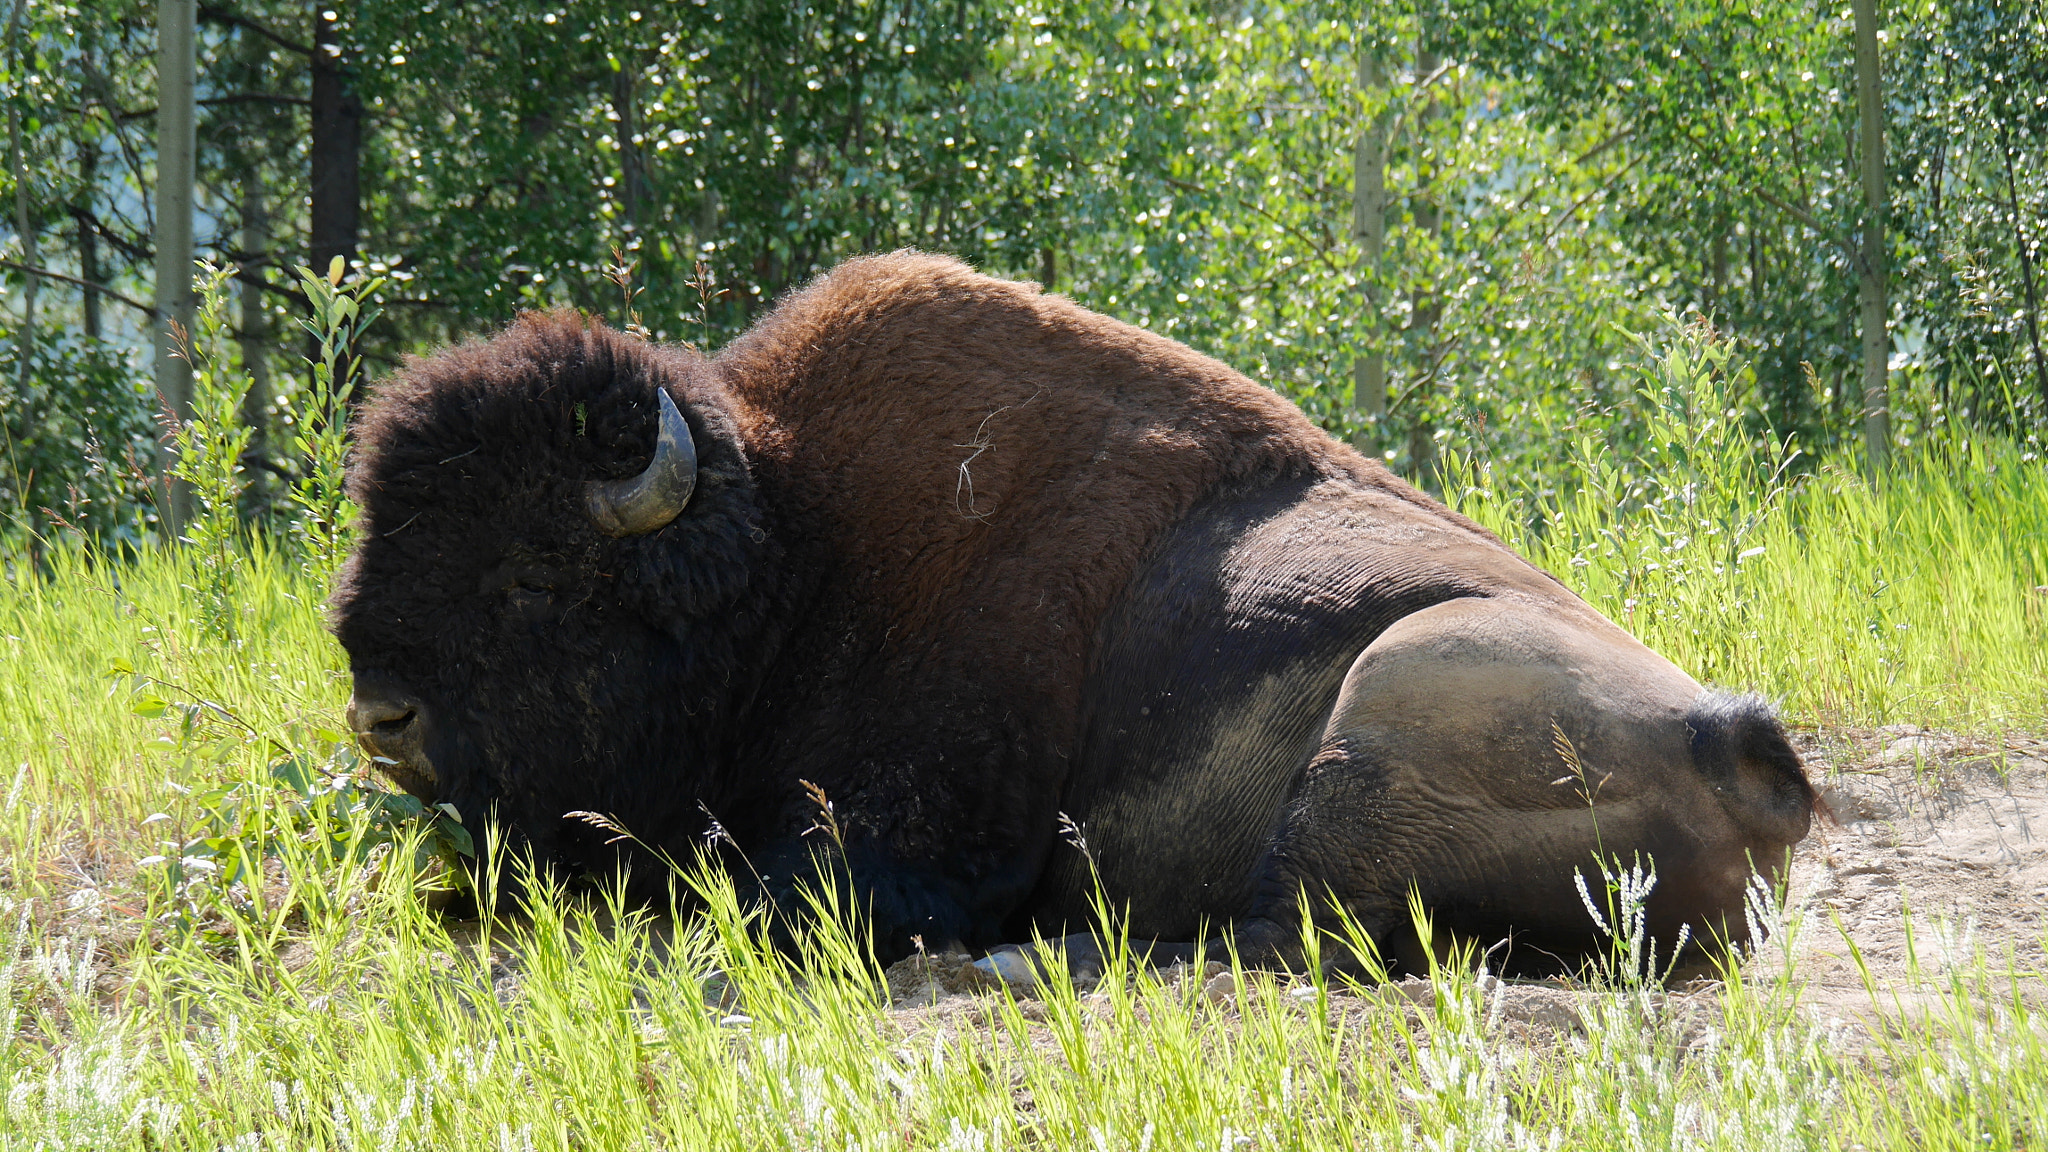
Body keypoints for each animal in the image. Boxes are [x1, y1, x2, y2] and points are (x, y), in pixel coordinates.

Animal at [336, 251, 1815, 977]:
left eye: (533, 571)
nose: (380, 715)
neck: (795, 551)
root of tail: (1734, 747)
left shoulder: (921, 831)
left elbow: (773, 896)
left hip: (1395, 693)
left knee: (1277, 934)